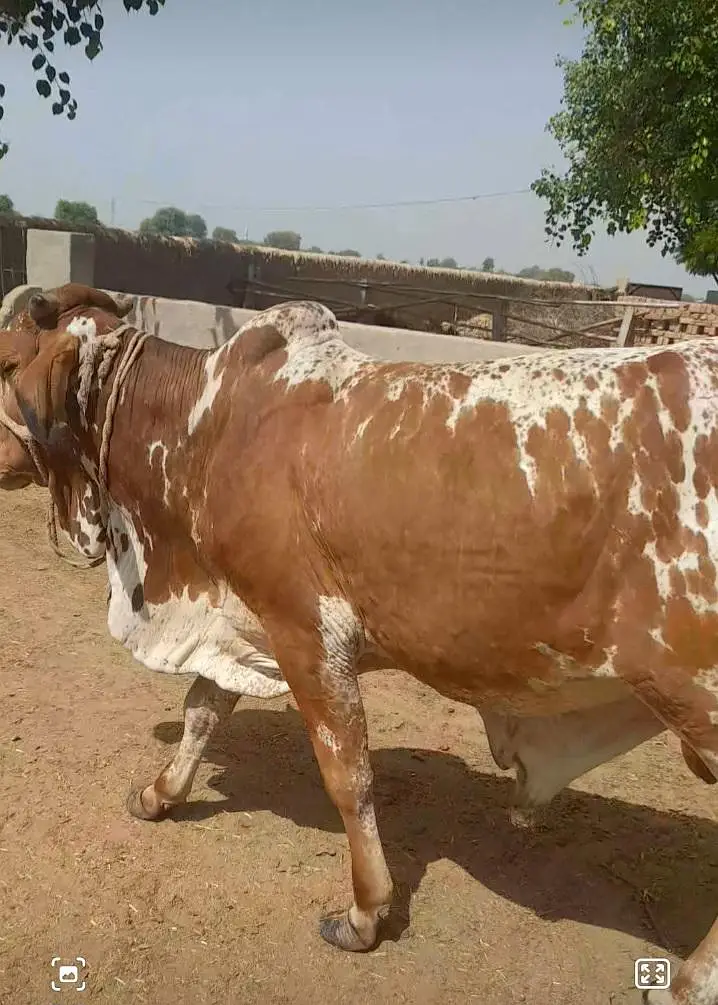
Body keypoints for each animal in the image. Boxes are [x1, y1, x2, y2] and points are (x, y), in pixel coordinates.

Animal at [0, 282, 716, 1004]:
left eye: (5, 363)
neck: (206, 430)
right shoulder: (243, 617)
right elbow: (202, 711)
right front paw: (159, 793)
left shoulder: (307, 632)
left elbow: (348, 775)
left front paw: (365, 911)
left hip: (695, 702)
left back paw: (687, 982)